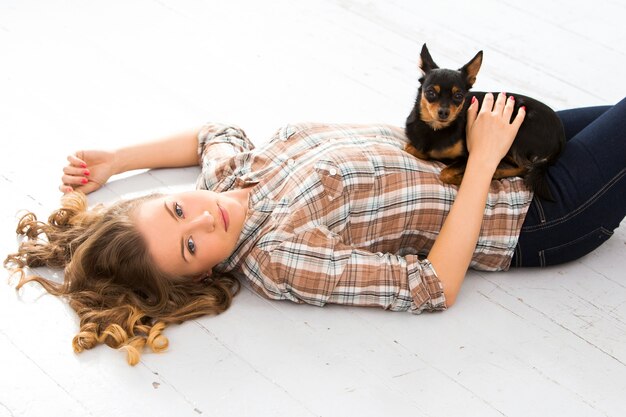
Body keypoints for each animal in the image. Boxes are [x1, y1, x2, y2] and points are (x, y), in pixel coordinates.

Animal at [402, 43, 564, 199]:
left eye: (459, 96)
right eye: (430, 93)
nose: (443, 112)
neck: (436, 129)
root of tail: (560, 137)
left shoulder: (469, 157)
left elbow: (445, 173)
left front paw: (461, 178)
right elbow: (410, 147)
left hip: (517, 139)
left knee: (525, 167)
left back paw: (496, 172)